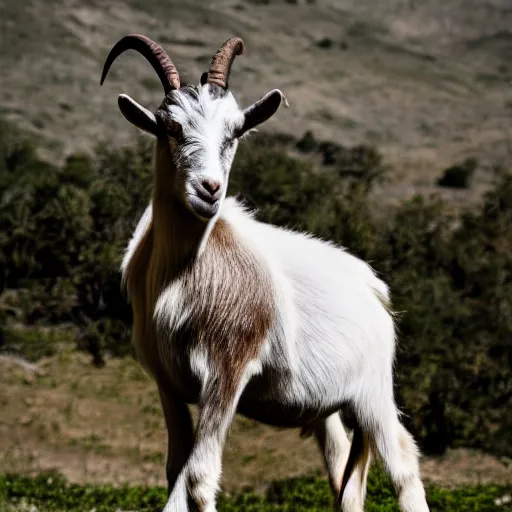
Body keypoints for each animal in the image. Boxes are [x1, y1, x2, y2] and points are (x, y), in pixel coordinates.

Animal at [101, 33, 432, 512]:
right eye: (170, 127)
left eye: (234, 131)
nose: (209, 190)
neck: (181, 276)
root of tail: (374, 289)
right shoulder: (168, 383)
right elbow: (175, 475)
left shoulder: (227, 372)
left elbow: (199, 477)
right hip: (329, 407)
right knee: (345, 476)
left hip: (373, 393)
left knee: (403, 464)